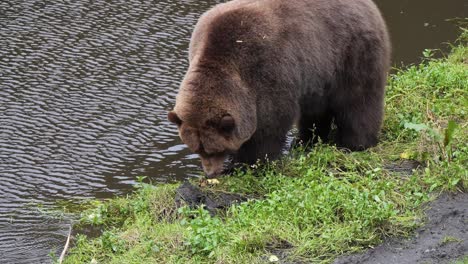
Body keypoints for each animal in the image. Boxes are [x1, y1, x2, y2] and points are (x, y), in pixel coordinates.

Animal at [168, 0, 392, 178]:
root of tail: (370, 6)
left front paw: (248, 164)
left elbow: (268, 128)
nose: (210, 172)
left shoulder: (268, 73)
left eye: (214, 149)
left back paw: (355, 143)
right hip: (319, 74)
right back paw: (305, 141)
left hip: (351, 53)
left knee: (359, 102)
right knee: (316, 111)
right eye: (197, 149)